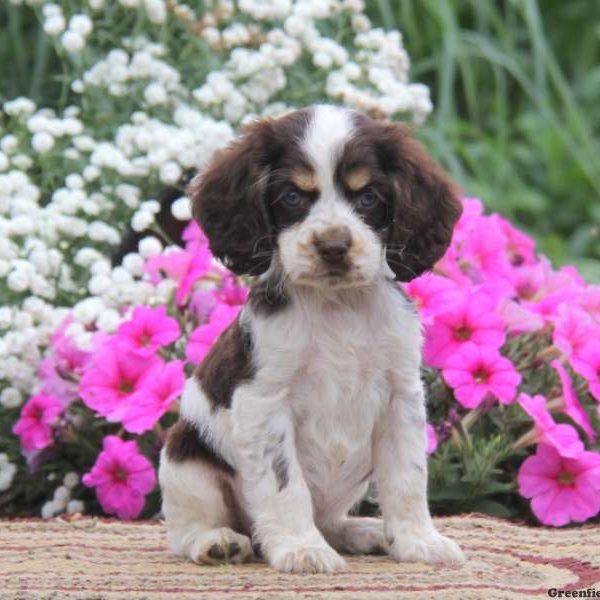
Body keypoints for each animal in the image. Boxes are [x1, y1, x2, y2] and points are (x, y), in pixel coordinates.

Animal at [158, 105, 464, 576]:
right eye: (292, 197)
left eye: (368, 198)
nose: (333, 246)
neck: (337, 306)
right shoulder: (265, 401)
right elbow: (286, 484)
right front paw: (302, 549)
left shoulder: (401, 397)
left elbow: (407, 479)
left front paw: (419, 542)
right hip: (184, 460)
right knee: (189, 529)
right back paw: (219, 542)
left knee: (331, 519)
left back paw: (361, 532)